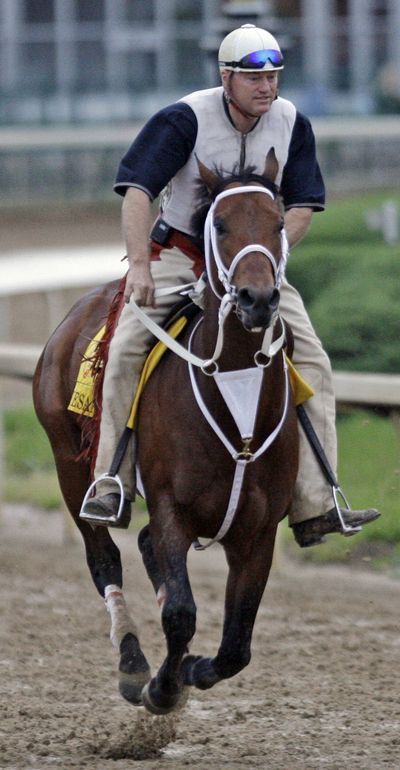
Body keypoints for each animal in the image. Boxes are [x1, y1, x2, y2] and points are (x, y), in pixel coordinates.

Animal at [32, 150, 298, 712]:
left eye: (279, 223)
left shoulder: (259, 531)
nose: (257, 298)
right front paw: (162, 686)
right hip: (69, 461)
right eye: (219, 225)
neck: (234, 389)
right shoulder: (173, 506)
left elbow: (237, 643)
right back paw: (133, 662)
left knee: (145, 545)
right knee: (104, 556)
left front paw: (192, 670)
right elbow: (180, 613)